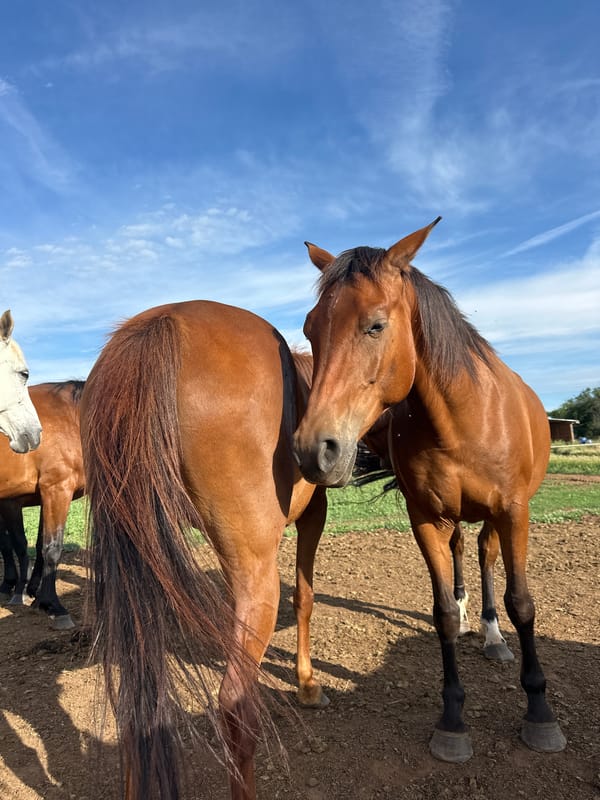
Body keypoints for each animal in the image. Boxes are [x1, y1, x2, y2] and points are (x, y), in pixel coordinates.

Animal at [0, 381, 85, 629]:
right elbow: (49, 548)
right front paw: (53, 605)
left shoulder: (45, 495)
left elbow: (38, 546)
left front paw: (34, 595)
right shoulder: (56, 489)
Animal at [80, 301, 331, 800]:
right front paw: (308, 683)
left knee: (135, 709)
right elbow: (306, 598)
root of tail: (161, 325)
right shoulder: (315, 514)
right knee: (235, 707)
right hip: (256, 575)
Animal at [293, 219, 566, 763]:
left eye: (375, 325)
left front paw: (539, 711)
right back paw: (468, 616)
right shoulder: (426, 518)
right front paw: (453, 719)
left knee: (484, 556)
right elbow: (440, 614)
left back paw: (492, 635)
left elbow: (522, 603)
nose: (315, 450)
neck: (462, 416)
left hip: (497, 517)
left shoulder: (514, 512)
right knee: (462, 551)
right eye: (311, 329)